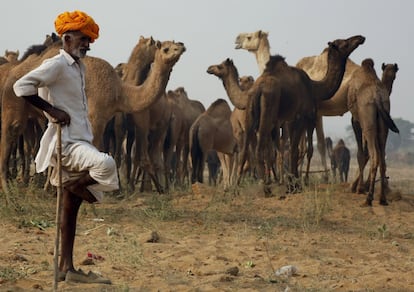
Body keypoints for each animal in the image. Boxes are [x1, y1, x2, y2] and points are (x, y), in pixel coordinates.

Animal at [0, 38, 184, 192]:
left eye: (175, 43)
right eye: (165, 48)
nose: (181, 46)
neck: (119, 92)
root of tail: (14, 71)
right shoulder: (96, 118)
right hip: (13, 100)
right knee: (10, 134)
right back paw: (8, 190)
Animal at [210, 34, 366, 194]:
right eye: (344, 43)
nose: (360, 38)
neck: (315, 86)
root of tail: (257, 89)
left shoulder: (289, 121)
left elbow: (290, 149)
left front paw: (292, 182)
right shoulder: (299, 117)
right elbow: (294, 150)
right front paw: (294, 184)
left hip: (251, 118)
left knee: (245, 151)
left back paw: (238, 187)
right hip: (267, 115)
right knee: (259, 150)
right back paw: (265, 188)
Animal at [348, 58, 400, 205]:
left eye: (395, 74)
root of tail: (377, 97)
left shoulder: (356, 121)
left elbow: (361, 154)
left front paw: (358, 188)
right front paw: (359, 187)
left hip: (368, 124)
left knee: (374, 156)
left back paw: (368, 198)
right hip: (383, 126)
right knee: (382, 158)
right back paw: (382, 198)